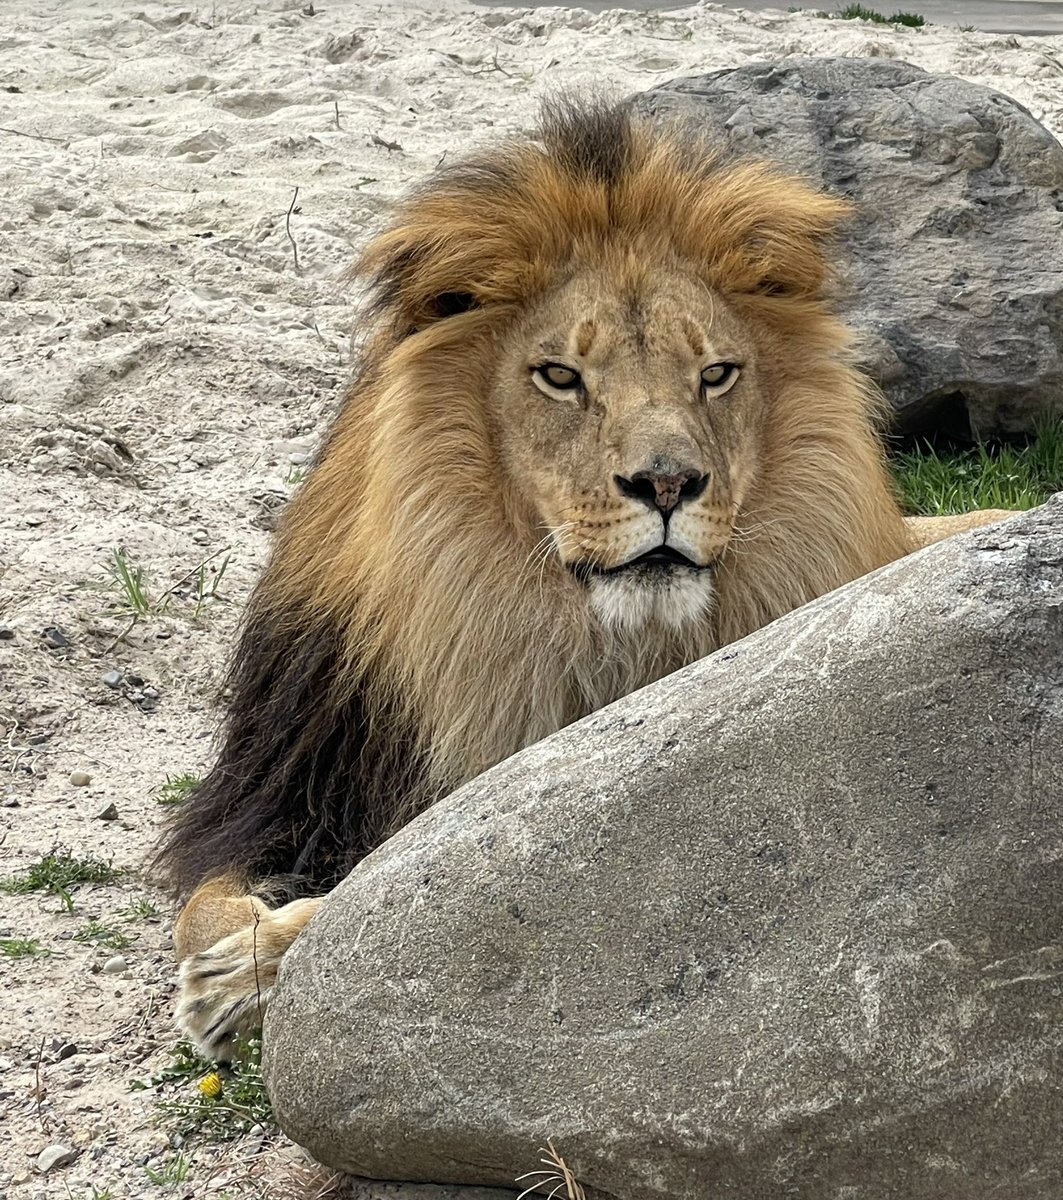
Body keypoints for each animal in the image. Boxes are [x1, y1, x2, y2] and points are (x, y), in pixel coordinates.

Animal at [153, 100, 1012, 1060]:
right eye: (561, 376)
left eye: (716, 374)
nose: (667, 484)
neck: (569, 639)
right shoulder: (292, 794)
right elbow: (203, 907)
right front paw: (233, 959)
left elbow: (367, 907)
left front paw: (251, 970)